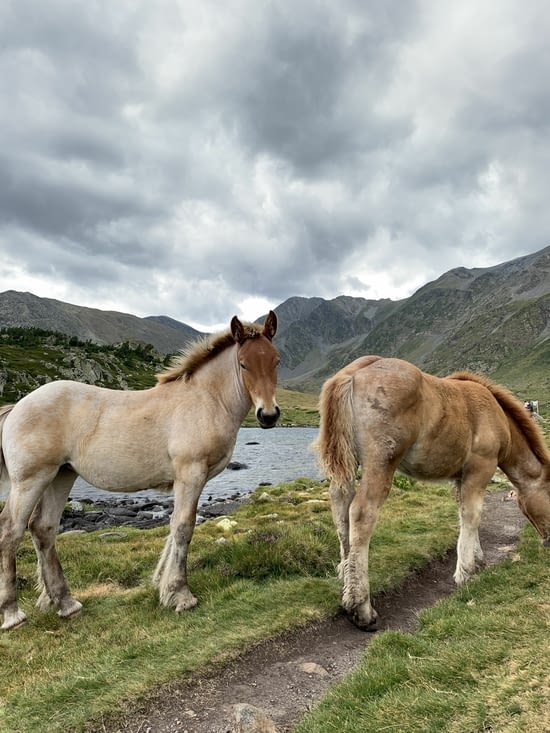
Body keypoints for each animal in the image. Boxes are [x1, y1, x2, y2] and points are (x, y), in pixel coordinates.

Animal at [0, 311, 280, 630]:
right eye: (243, 364)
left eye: (276, 360)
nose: (268, 415)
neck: (205, 400)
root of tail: (18, 406)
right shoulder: (191, 475)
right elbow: (183, 528)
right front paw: (181, 595)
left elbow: (175, 528)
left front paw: (164, 588)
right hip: (31, 480)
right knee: (11, 530)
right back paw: (12, 614)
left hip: (60, 476)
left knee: (43, 529)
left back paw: (66, 604)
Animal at [314, 355, 550, 630]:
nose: (549, 542)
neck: (496, 415)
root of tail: (353, 373)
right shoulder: (481, 467)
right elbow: (473, 514)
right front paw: (465, 572)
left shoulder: (460, 477)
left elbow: (465, 515)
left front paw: (477, 559)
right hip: (380, 464)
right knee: (362, 515)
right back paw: (361, 608)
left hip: (348, 464)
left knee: (341, 511)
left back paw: (346, 579)